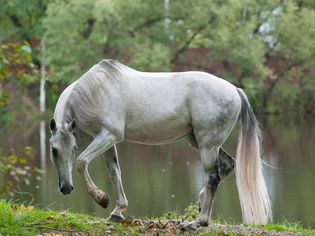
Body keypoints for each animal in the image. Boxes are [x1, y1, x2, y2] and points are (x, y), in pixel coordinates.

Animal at [48, 59, 272, 227]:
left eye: (73, 148)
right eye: (54, 150)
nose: (65, 188)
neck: (96, 90)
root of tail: (235, 90)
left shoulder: (109, 136)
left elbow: (81, 162)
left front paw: (101, 198)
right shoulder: (106, 138)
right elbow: (114, 173)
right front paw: (117, 211)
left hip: (207, 146)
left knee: (213, 177)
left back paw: (199, 221)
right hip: (200, 142)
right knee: (228, 164)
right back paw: (200, 204)